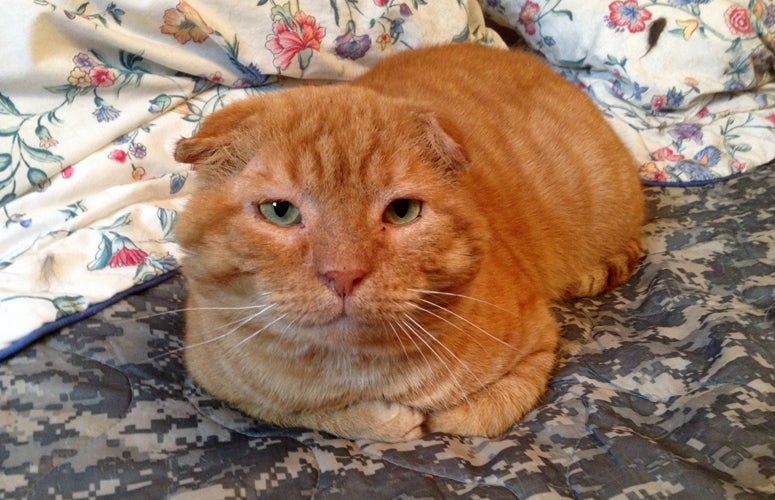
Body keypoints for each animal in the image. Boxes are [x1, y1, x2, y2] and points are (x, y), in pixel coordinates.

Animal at [174, 44, 644, 442]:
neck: (355, 371)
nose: (343, 274)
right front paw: (383, 419)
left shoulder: (537, 347)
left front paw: (433, 416)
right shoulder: (224, 384)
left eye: (401, 211)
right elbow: (303, 413)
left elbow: (472, 417)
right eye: (279, 211)